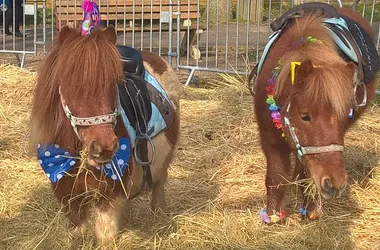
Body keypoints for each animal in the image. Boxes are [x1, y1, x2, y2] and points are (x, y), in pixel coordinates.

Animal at [28, 25, 181, 246]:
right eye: (70, 83)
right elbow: (78, 235)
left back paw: (158, 213)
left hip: (163, 159)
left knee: (159, 183)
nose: (104, 146)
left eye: (114, 84)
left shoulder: (108, 196)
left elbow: (105, 236)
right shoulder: (68, 196)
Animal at [249, 5, 378, 222]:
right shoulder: (270, 141)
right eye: (305, 116)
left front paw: (309, 209)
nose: (335, 183)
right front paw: (273, 216)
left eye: (344, 116)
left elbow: (305, 175)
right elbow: (275, 178)